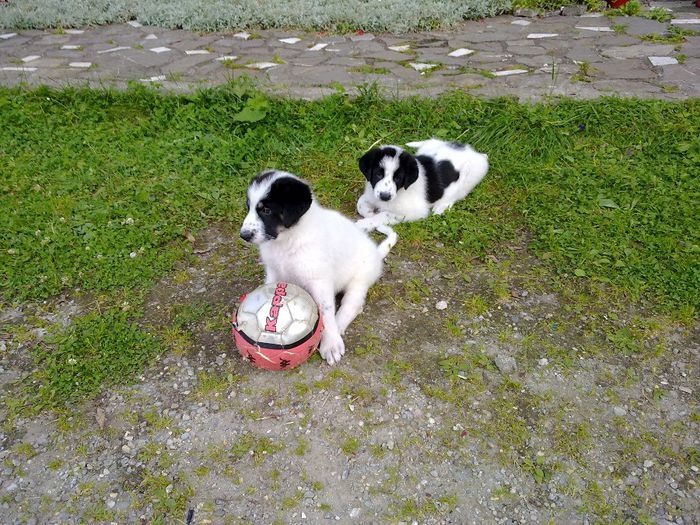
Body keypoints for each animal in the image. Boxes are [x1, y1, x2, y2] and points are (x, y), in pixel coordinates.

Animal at [241, 171, 396, 364]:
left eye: (266, 210)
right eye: (249, 207)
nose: (243, 235)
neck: (288, 240)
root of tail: (376, 252)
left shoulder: (319, 280)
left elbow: (326, 313)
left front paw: (331, 344)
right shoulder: (274, 271)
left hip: (360, 280)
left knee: (351, 305)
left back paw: (339, 326)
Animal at [356, 138, 486, 230]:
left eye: (398, 178)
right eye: (379, 174)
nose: (384, 196)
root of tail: (477, 154)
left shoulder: (414, 212)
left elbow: (385, 215)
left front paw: (363, 224)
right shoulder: (371, 195)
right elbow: (360, 204)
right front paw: (369, 212)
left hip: (468, 179)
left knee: (456, 195)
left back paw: (441, 207)